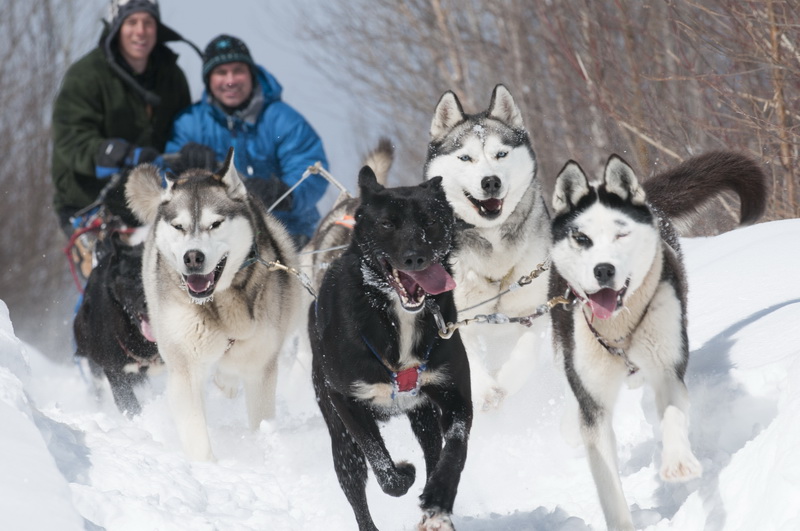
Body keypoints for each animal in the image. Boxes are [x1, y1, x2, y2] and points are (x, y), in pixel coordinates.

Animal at [306, 169, 468, 531]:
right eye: (386, 224)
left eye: (430, 220)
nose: (415, 257)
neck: (395, 314)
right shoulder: (346, 400)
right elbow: (385, 469)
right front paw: (403, 473)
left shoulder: (453, 394)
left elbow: (455, 449)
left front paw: (440, 496)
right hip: (340, 439)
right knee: (356, 487)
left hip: (423, 417)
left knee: (433, 451)